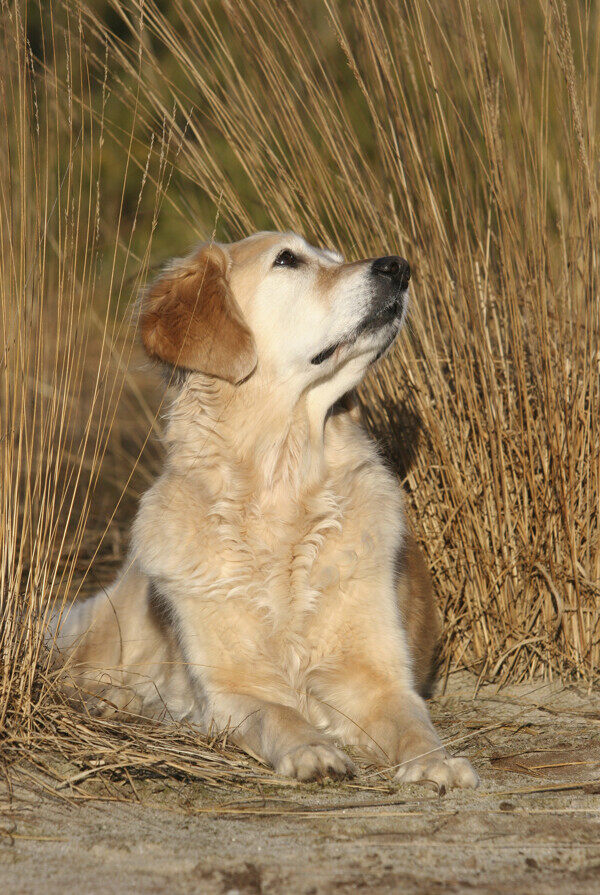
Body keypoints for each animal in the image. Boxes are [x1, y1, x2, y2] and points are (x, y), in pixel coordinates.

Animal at [54, 233, 480, 792]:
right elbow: (279, 714)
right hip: (108, 628)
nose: (399, 267)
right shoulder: (232, 688)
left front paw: (435, 762)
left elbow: (412, 721)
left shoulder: (376, 676)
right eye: (287, 259)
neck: (283, 485)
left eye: (335, 257)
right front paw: (312, 750)